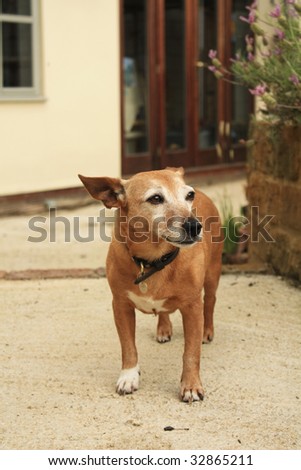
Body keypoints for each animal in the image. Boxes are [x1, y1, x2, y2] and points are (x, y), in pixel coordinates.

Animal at [78, 167, 221, 402]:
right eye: (155, 198)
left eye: (189, 195)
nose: (194, 226)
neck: (153, 261)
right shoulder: (120, 306)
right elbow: (128, 346)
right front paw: (128, 376)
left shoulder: (192, 308)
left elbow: (191, 353)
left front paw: (191, 384)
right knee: (163, 311)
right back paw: (163, 328)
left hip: (212, 275)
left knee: (210, 301)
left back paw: (207, 331)